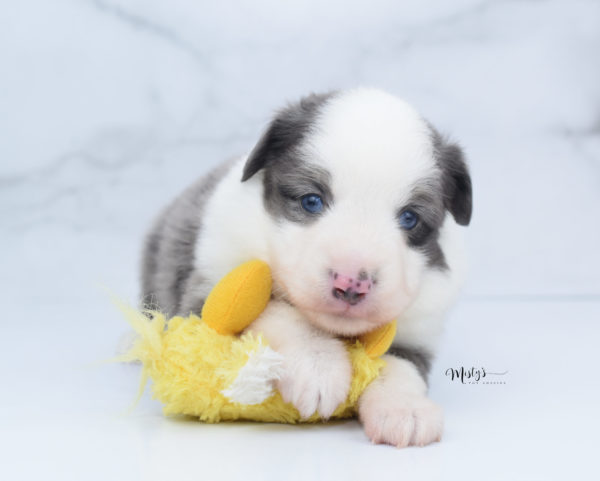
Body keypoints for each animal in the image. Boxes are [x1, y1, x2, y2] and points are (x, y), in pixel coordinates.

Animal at [142, 88, 474, 448]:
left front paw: (405, 410)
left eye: (410, 218)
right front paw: (318, 365)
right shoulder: (208, 293)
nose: (351, 284)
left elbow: (399, 365)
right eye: (311, 201)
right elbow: (276, 308)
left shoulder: (418, 329)